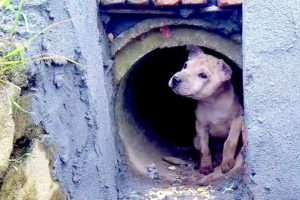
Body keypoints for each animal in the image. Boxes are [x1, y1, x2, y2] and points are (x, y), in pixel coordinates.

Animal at [169, 46, 244, 174]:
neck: (212, 102)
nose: (176, 79)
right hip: (195, 139)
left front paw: (227, 162)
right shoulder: (200, 126)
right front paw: (205, 166)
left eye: (203, 75)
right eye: (185, 65)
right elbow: (205, 149)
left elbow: (229, 143)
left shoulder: (237, 121)